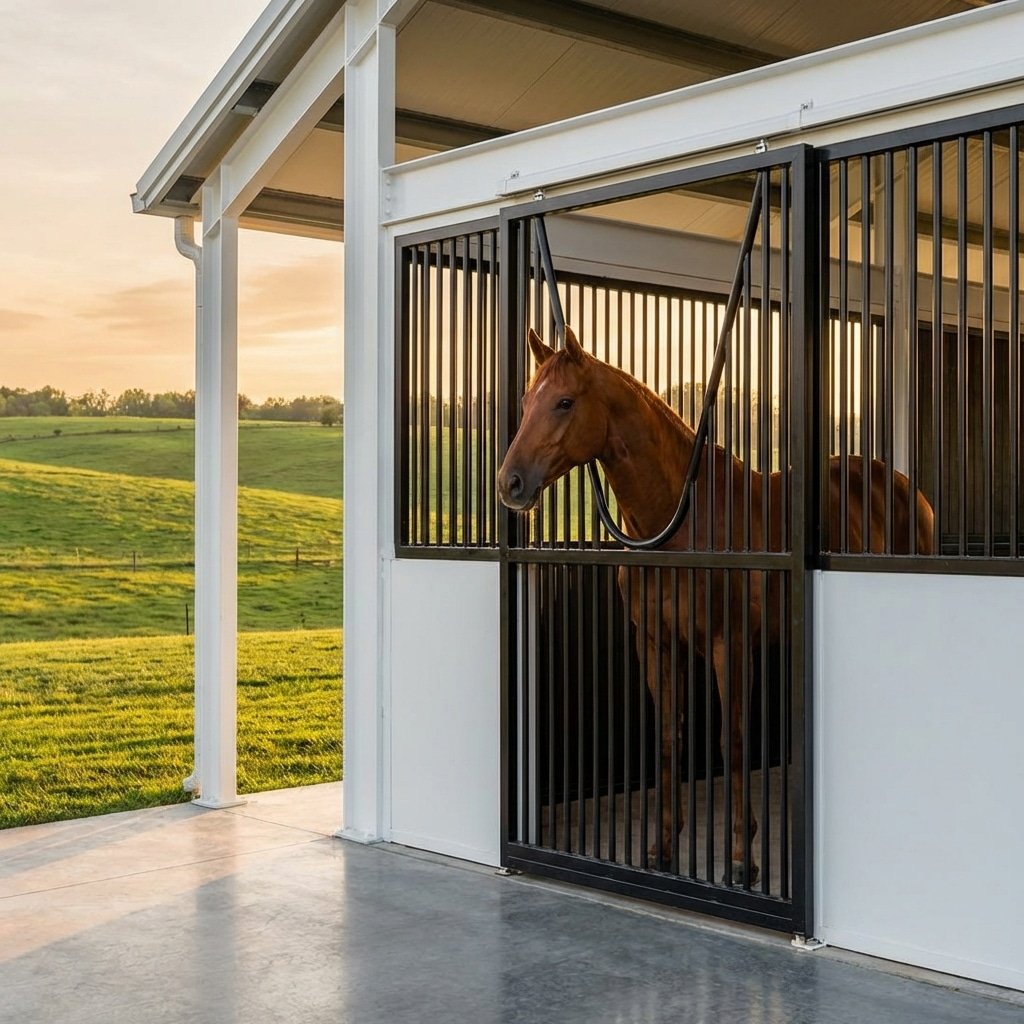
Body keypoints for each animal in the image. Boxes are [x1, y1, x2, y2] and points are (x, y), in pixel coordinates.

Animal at [497, 325, 934, 885]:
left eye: (564, 402)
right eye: (526, 401)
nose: (510, 483)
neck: (679, 525)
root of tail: (899, 483)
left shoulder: (732, 646)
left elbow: (733, 741)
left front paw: (742, 859)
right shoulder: (656, 644)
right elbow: (668, 737)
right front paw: (662, 848)